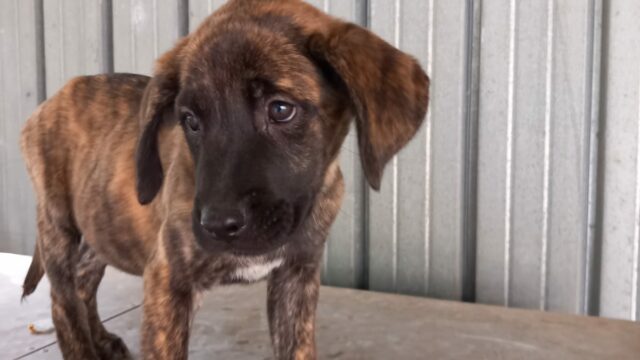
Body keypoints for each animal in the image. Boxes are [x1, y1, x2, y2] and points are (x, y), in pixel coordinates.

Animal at [20, 1, 430, 358]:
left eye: (280, 109)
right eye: (190, 120)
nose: (216, 225)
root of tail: (49, 102)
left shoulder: (296, 278)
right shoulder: (167, 280)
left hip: (101, 229)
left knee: (84, 281)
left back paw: (102, 339)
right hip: (57, 225)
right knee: (63, 301)